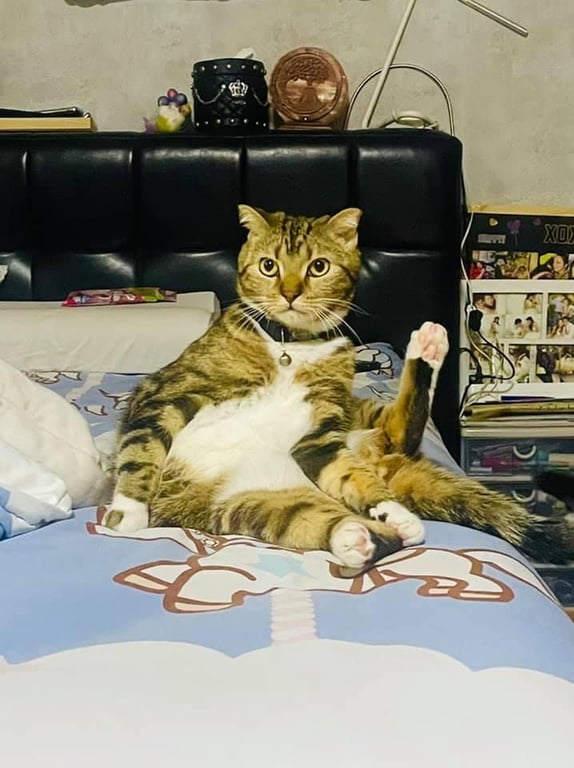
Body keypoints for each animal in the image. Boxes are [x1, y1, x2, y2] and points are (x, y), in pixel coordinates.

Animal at [103, 205, 574, 574]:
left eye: (319, 267)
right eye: (269, 266)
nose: (290, 293)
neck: (287, 346)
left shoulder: (319, 432)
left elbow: (351, 472)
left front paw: (391, 509)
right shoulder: (170, 393)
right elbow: (143, 446)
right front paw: (127, 511)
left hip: (349, 426)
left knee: (397, 435)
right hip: (245, 500)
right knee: (313, 516)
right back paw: (358, 534)